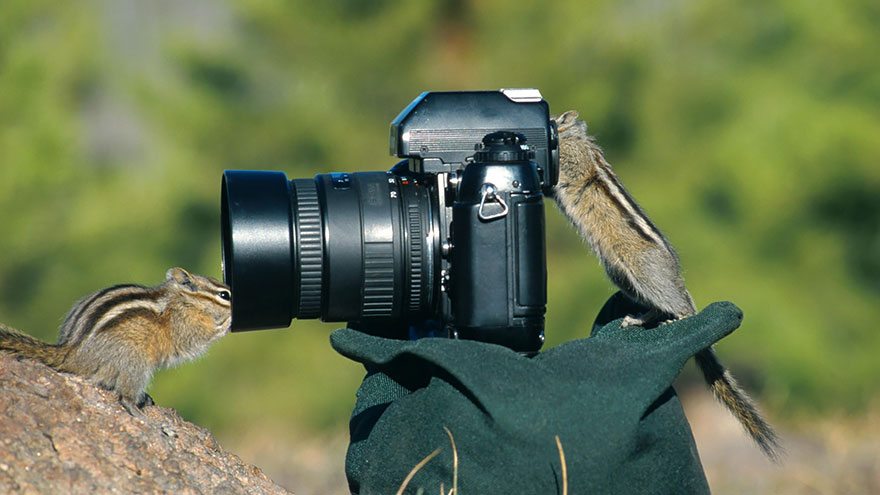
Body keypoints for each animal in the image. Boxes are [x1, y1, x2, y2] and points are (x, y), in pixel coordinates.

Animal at [0, 267, 231, 415]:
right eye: (224, 295)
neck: (184, 300)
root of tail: (72, 353)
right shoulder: (183, 325)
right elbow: (196, 338)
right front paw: (226, 323)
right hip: (135, 361)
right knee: (124, 395)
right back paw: (136, 410)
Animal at [553, 111, 782, 461]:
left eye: (555, 119)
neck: (578, 138)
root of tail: (678, 281)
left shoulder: (575, 161)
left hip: (643, 273)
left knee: (675, 306)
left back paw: (678, 318)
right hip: (621, 276)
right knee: (654, 307)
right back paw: (638, 319)